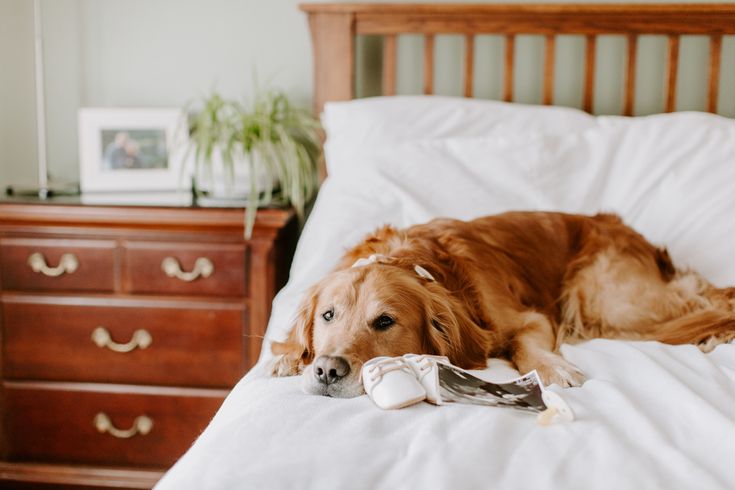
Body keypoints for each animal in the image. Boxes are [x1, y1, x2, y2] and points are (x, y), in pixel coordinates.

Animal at [270, 212, 735, 398]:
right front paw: (286, 357)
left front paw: (553, 369)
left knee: (707, 296)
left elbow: (523, 345)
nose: (327, 371)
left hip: (609, 299)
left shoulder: (531, 318)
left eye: (385, 321)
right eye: (328, 316)